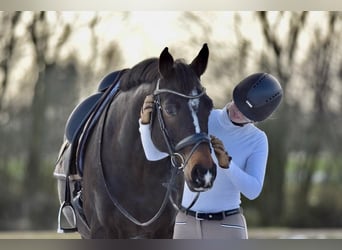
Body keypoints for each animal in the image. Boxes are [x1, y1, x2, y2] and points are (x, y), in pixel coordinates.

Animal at [55, 43, 218, 238]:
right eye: (169, 109)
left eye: (209, 106)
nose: (204, 172)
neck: (137, 168)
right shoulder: (101, 232)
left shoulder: (164, 230)